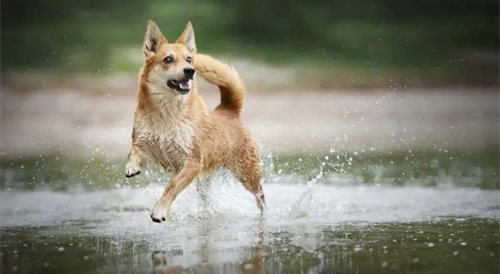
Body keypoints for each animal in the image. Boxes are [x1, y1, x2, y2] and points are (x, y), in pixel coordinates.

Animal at [124, 20, 266, 223]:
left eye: (189, 59)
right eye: (168, 59)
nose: (190, 71)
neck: (167, 115)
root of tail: (229, 110)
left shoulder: (191, 163)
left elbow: (172, 187)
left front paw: (160, 211)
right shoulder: (147, 147)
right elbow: (134, 151)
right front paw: (132, 166)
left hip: (247, 174)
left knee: (260, 196)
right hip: (204, 181)